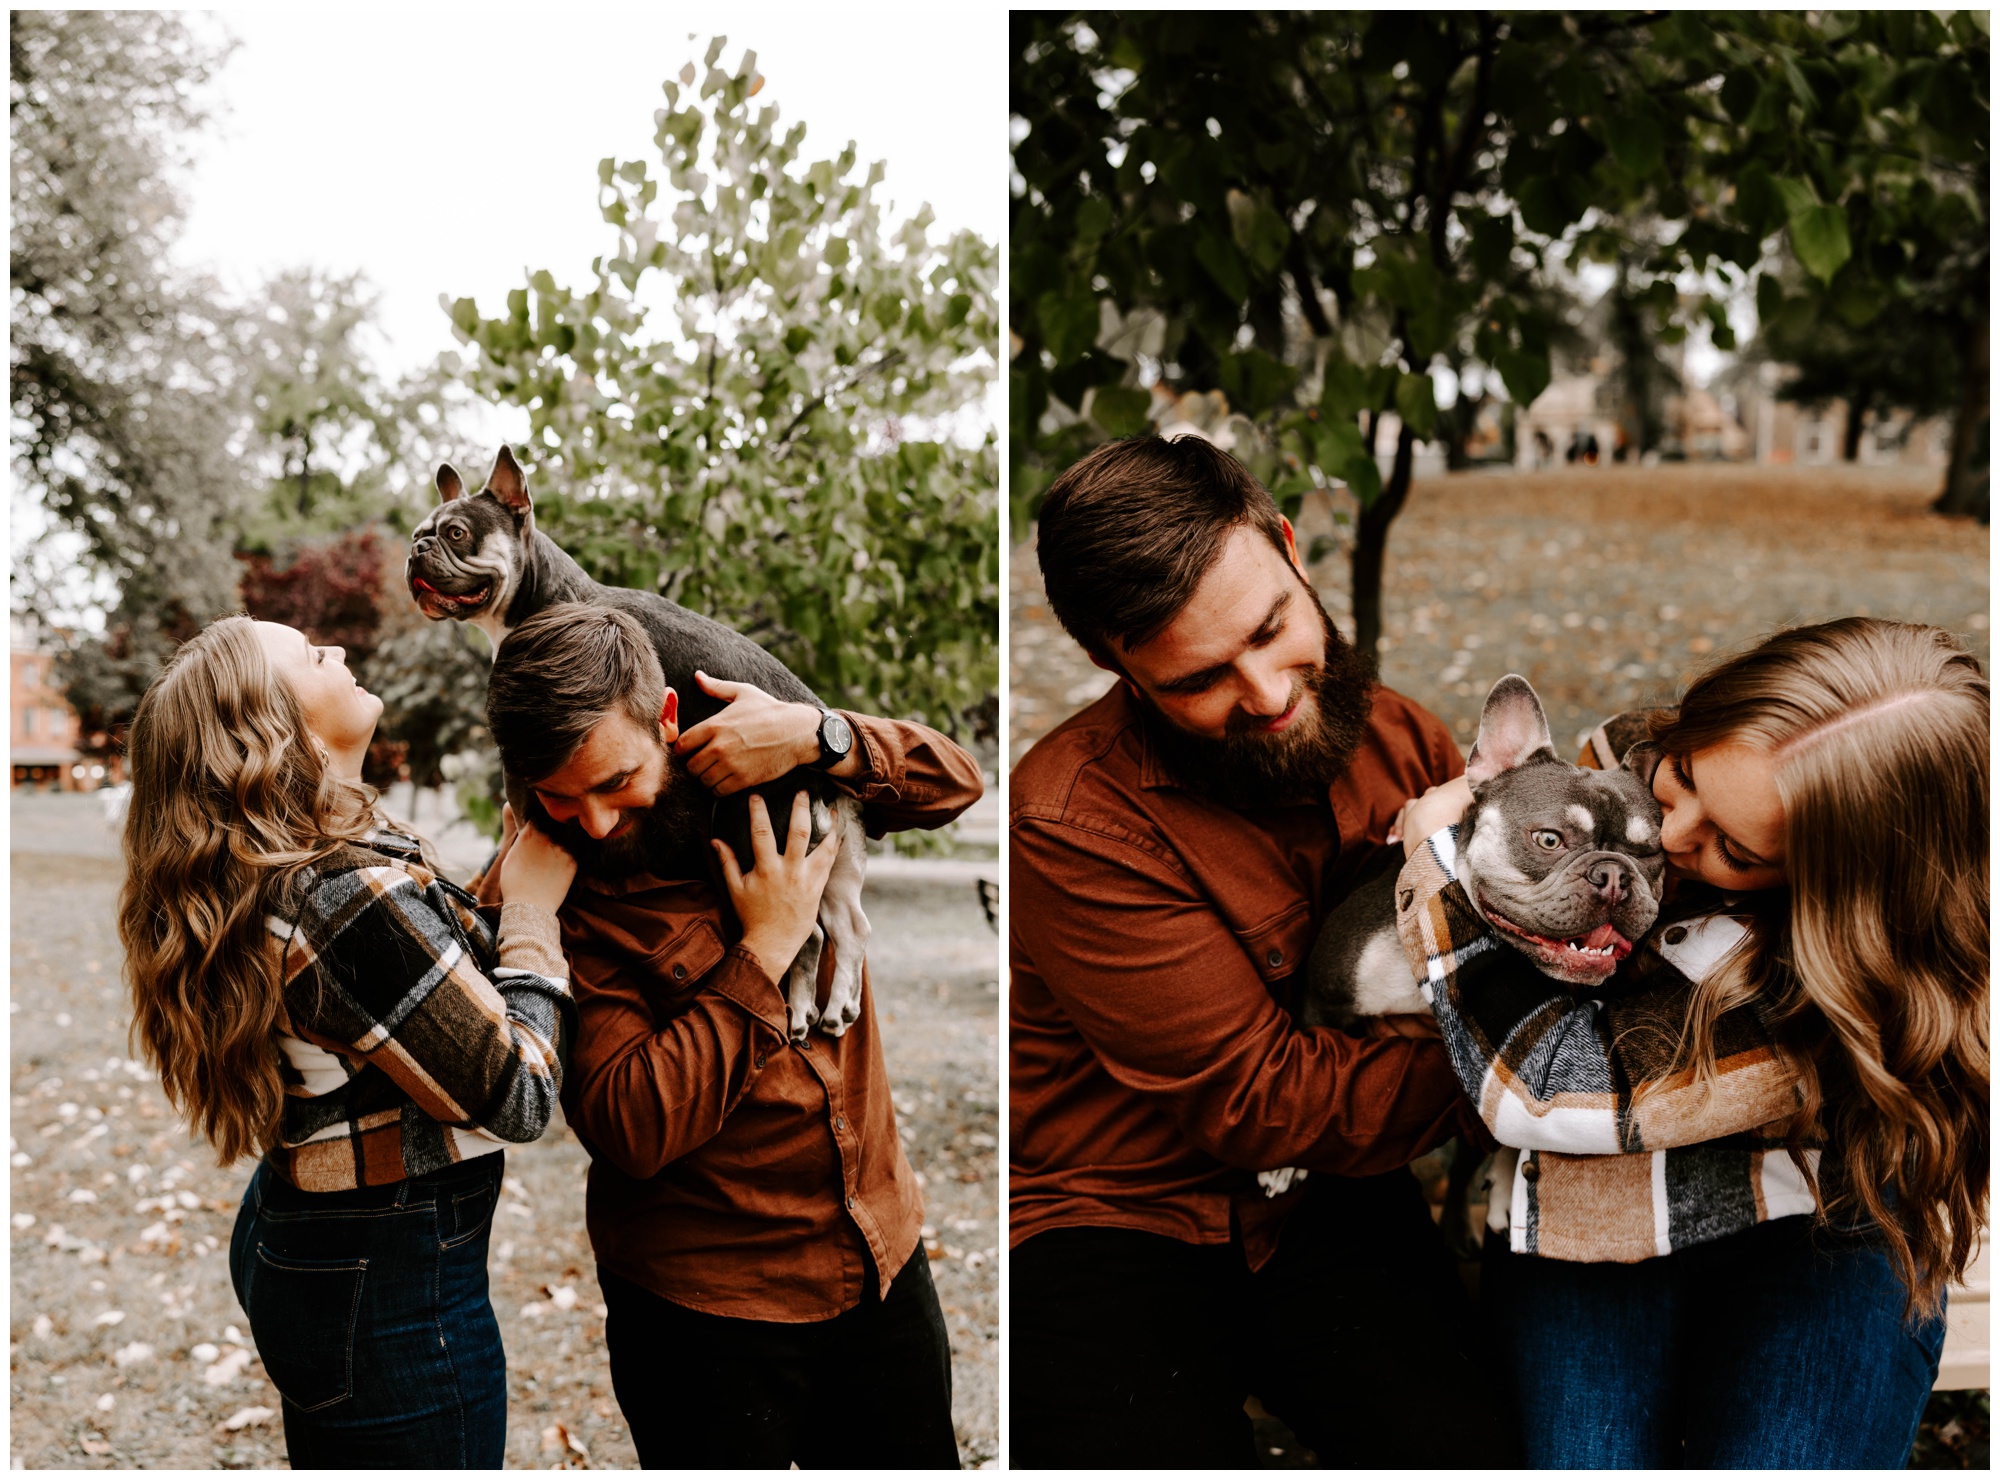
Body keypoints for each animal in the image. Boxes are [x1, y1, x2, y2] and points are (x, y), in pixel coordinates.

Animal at [406, 448, 868, 1040]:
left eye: (457, 533)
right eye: (420, 532)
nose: (417, 548)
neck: (543, 594)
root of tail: (822, 775)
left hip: (757, 835)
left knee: (809, 935)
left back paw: (801, 1010)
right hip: (835, 867)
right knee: (851, 927)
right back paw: (838, 1010)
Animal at [1264, 676, 1672, 1232]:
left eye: (1650, 854)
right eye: (1549, 839)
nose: (1613, 875)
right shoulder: (1321, 999)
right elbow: (1309, 1078)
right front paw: (1284, 1162)